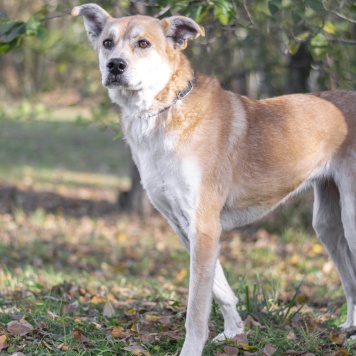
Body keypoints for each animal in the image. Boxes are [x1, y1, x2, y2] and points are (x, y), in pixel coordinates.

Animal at [72, 3, 356, 356]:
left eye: (143, 43)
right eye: (107, 43)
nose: (115, 66)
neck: (163, 112)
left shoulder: (204, 226)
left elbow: (196, 307)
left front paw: (191, 349)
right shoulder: (184, 226)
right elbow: (219, 290)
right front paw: (234, 332)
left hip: (352, 217)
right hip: (328, 224)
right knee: (350, 279)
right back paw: (349, 328)